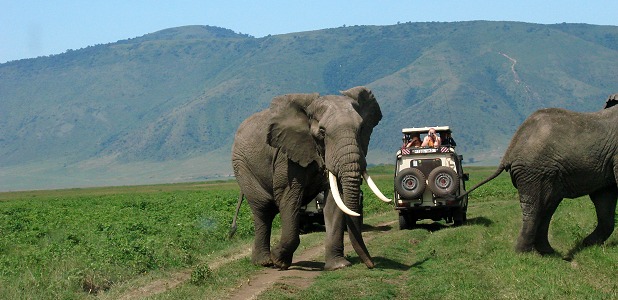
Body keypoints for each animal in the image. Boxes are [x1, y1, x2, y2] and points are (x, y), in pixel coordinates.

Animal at [229, 85, 388, 270]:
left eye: (362, 128)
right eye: (322, 132)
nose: (371, 264)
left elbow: (334, 202)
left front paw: (338, 266)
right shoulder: (287, 157)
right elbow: (289, 198)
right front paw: (278, 261)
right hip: (243, 166)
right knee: (263, 210)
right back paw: (264, 262)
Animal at [462, 94, 616, 253]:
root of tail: (510, 150)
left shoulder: (606, 161)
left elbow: (604, 197)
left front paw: (587, 244)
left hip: (545, 172)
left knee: (547, 206)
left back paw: (547, 252)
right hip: (534, 170)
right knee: (536, 207)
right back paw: (523, 253)